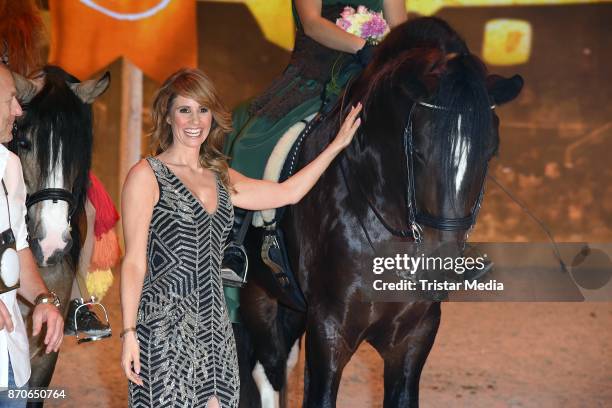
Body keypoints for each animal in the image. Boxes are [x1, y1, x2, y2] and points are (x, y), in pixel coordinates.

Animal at [237, 17, 524, 406]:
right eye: (417, 151)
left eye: (490, 152)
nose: (443, 265)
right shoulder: (328, 331)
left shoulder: (414, 337)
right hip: (257, 294)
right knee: (267, 370)